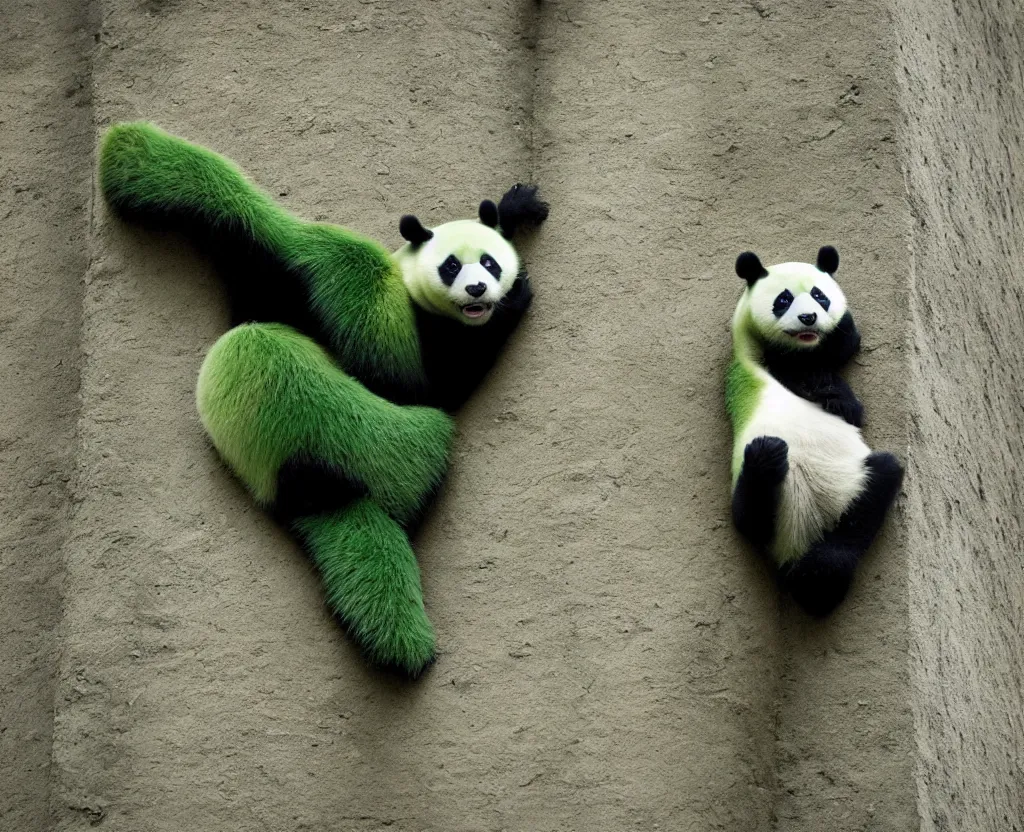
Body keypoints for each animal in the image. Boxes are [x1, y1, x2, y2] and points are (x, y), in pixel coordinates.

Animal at [99, 125, 548, 684]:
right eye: (451, 266)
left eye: (488, 261)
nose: (479, 289)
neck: (407, 279)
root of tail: (318, 493)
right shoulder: (380, 317)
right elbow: (436, 382)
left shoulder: (288, 284)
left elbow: (247, 245)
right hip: (371, 438)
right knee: (403, 436)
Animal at [729, 246, 905, 618]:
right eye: (783, 300)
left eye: (819, 295)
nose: (809, 318)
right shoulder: (771, 361)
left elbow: (843, 393)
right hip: (760, 495)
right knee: (747, 515)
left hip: (856, 489)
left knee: (875, 489)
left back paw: (819, 579)